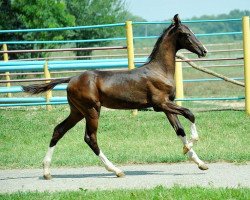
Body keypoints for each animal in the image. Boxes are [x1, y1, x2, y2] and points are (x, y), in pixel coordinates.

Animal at [22, 14, 208, 180]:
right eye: (186, 33)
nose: (203, 51)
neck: (159, 71)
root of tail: (72, 78)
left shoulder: (167, 105)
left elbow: (180, 130)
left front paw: (199, 161)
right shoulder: (160, 104)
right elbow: (190, 113)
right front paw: (191, 146)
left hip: (77, 111)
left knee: (58, 130)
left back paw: (46, 172)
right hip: (92, 110)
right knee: (90, 138)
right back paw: (116, 170)